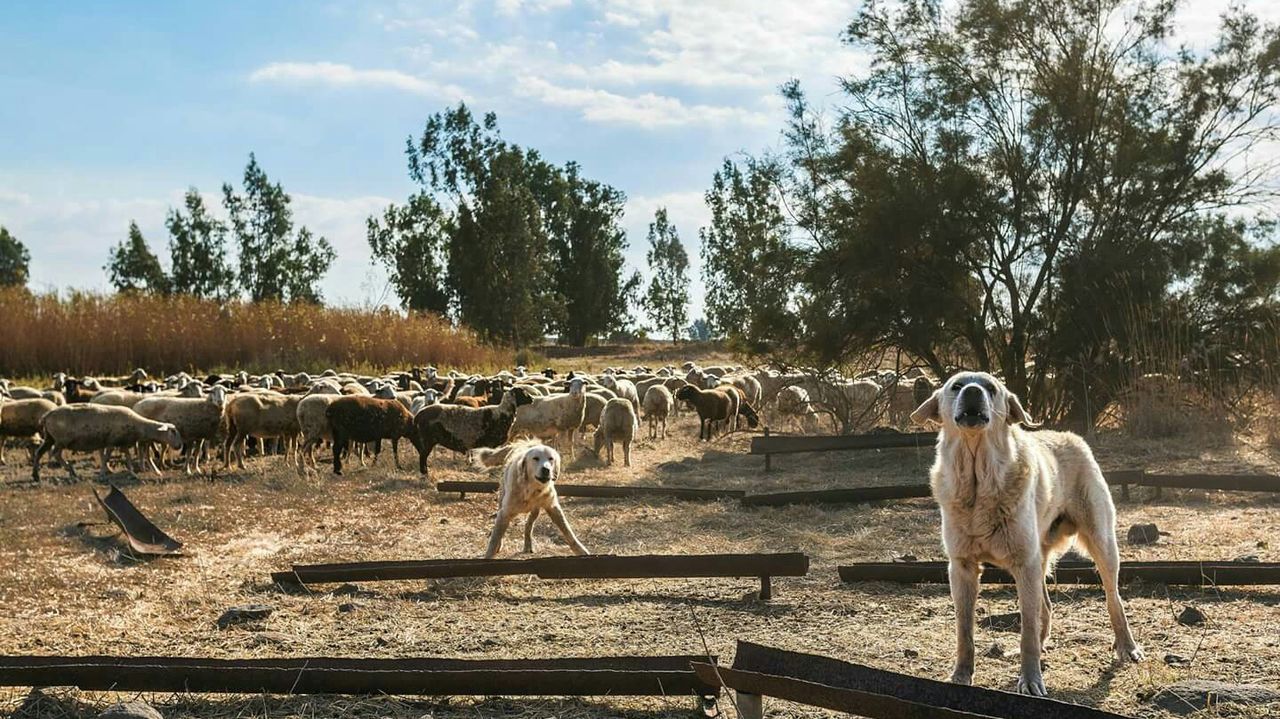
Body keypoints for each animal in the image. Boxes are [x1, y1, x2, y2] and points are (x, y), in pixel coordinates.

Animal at [34, 404, 183, 475]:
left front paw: (131, 471)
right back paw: (71, 471)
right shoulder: (112, 441)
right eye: (173, 431)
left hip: (49, 438)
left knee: (39, 453)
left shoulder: (122, 442)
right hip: (61, 440)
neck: (138, 425)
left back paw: (36, 475)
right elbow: (106, 457)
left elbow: (127, 456)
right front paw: (103, 472)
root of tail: (47, 415)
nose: (180, 446)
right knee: (56, 454)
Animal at [911, 371, 1141, 690]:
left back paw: (1127, 646)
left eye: (991, 388)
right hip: (1039, 558)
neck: (978, 481)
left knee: (1113, 599)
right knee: (1046, 606)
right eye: (956, 386)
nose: (973, 392)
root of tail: (1071, 436)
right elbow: (964, 631)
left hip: (1101, 546)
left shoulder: (1023, 564)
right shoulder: (962, 567)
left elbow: (1027, 630)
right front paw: (961, 674)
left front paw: (1030, 680)